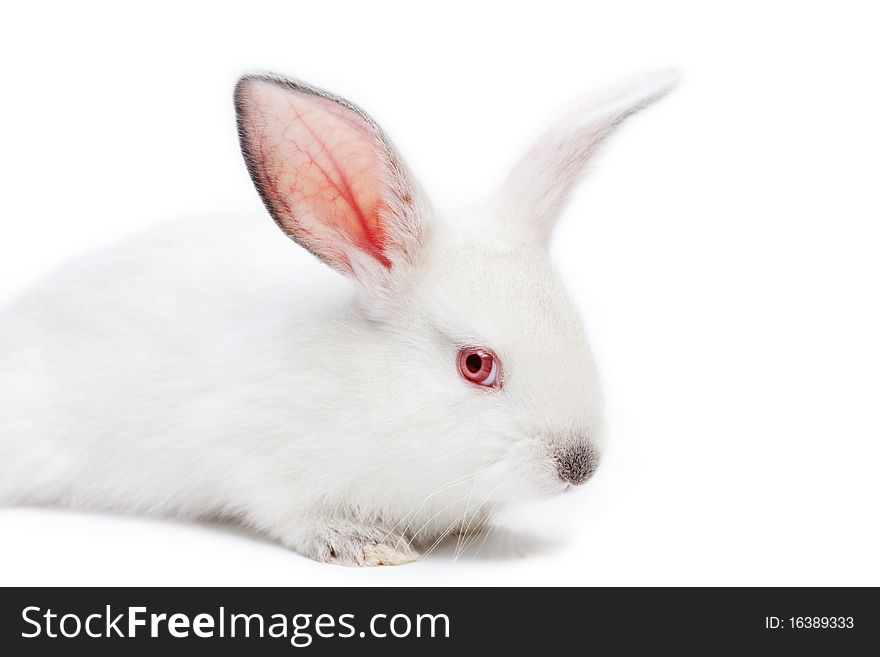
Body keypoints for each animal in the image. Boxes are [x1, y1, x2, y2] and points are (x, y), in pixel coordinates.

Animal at [0, 70, 676, 564]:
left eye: (577, 327)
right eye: (475, 364)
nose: (580, 466)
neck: (374, 393)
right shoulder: (249, 452)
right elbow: (291, 512)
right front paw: (368, 546)